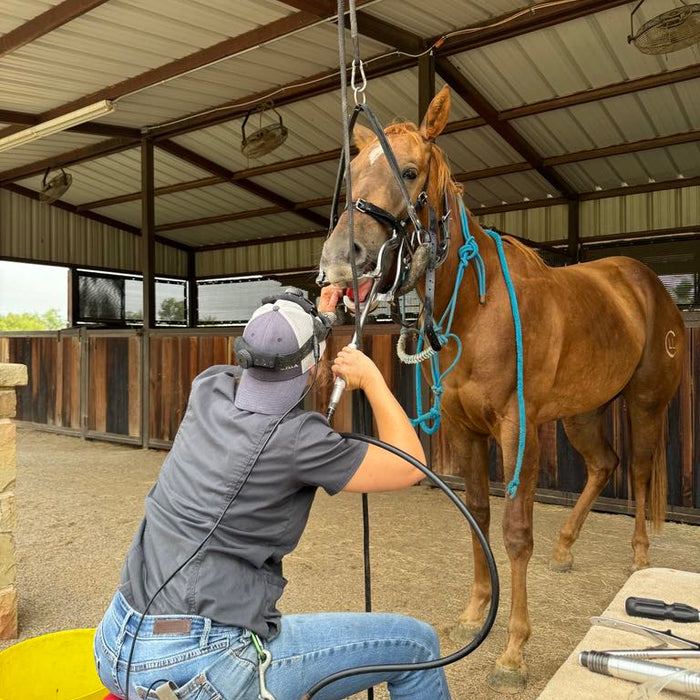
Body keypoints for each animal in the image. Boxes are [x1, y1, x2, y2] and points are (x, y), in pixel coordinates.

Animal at [318, 86, 685, 691]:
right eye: (352, 178)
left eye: (410, 172)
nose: (340, 263)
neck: (476, 308)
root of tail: (648, 284)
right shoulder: (467, 429)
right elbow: (478, 515)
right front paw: (474, 613)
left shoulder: (518, 431)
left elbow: (515, 532)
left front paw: (512, 651)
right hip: (582, 412)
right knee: (603, 464)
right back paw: (565, 549)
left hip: (646, 403)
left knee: (636, 470)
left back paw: (638, 559)